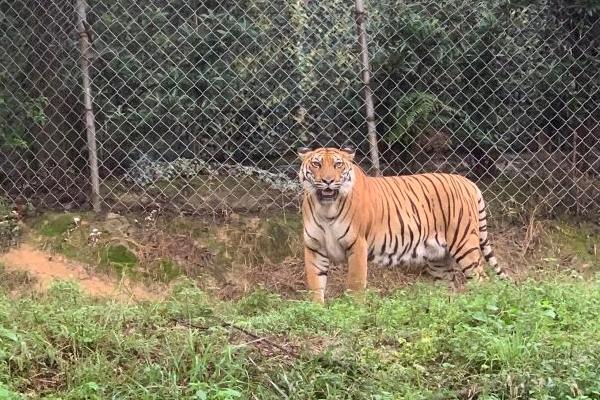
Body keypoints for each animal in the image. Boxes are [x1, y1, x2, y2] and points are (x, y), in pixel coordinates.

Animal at [298, 145, 508, 302]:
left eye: (338, 165)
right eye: (316, 164)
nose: (327, 180)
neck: (326, 208)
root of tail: (468, 182)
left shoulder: (357, 245)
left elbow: (355, 284)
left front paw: (354, 311)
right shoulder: (314, 248)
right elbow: (315, 284)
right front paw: (317, 311)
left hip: (465, 244)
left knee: (482, 279)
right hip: (438, 258)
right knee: (449, 287)